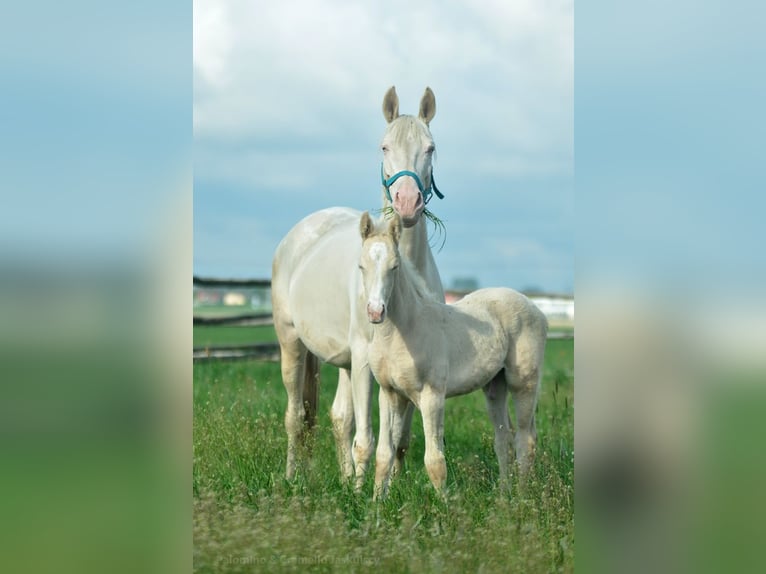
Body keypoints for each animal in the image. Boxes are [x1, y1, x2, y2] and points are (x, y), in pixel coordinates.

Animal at [272, 86, 448, 490]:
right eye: (384, 147)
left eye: (430, 148)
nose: (407, 203)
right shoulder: (366, 360)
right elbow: (367, 438)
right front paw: (361, 491)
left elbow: (399, 436)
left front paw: (391, 485)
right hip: (293, 344)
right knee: (295, 416)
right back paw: (292, 477)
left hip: (346, 362)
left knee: (340, 417)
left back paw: (342, 477)